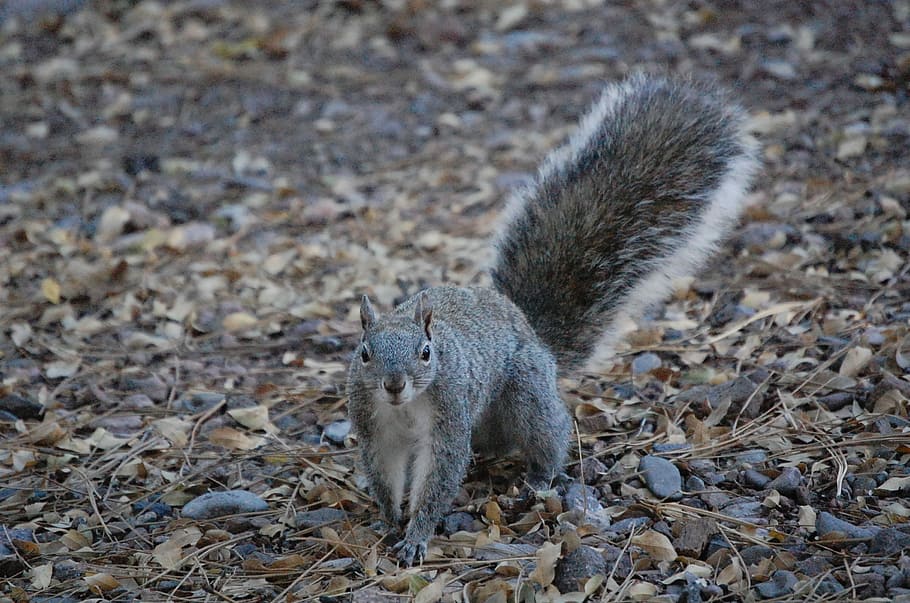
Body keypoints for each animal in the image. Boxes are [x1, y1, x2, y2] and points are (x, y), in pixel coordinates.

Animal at [346, 74, 759, 566]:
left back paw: (540, 478)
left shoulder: (447, 419)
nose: (393, 384)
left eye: (426, 353)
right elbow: (384, 474)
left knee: (548, 433)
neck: (404, 409)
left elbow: (439, 478)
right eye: (364, 353)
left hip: (525, 393)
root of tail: (528, 329)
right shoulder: (376, 429)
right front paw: (389, 519)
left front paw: (416, 535)